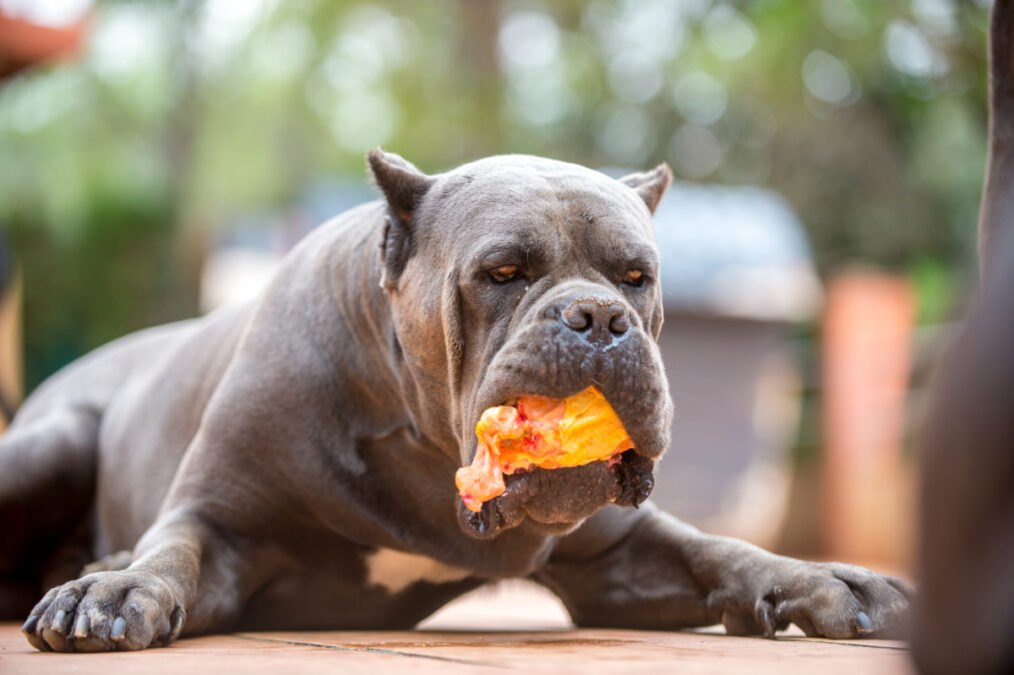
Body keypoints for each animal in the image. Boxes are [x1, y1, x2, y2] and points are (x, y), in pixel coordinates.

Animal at [0, 148, 912, 648]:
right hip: (48, 445)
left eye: (636, 276)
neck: (421, 444)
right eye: (502, 271)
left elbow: (721, 548)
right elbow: (171, 553)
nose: (599, 317)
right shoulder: (217, 522)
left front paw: (826, 579)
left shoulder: (618, 558)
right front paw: (115, 590)